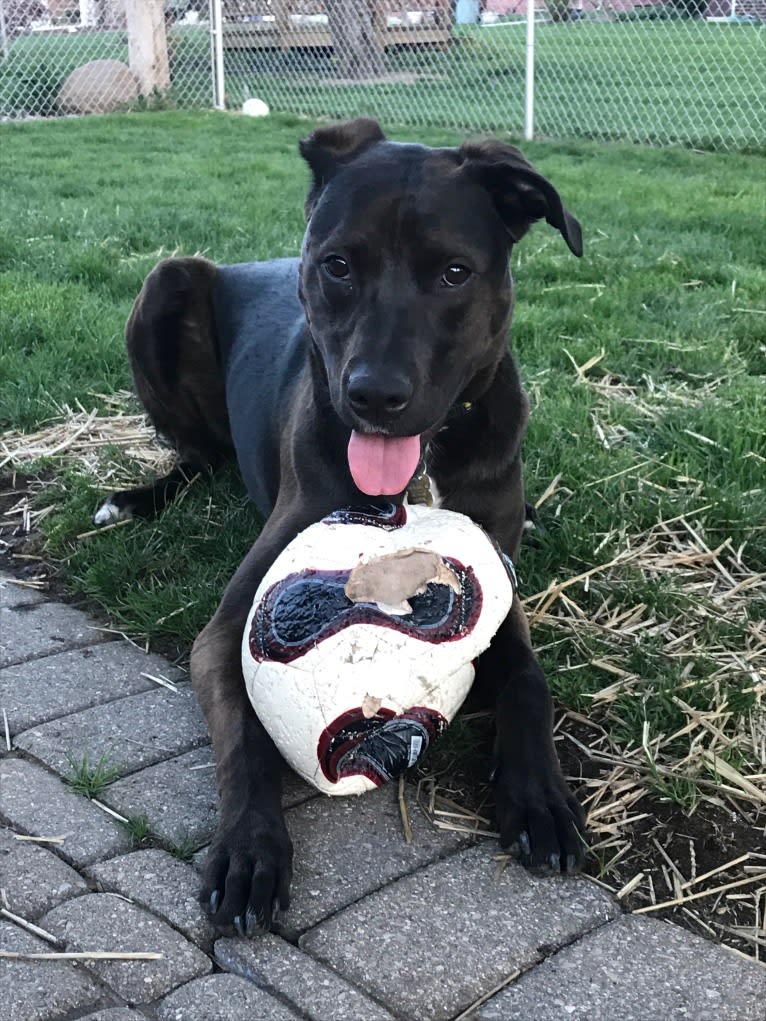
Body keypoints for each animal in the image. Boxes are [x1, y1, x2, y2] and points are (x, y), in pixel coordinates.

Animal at [96, 117, 588, 935]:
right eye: (338, 265)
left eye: (455, 273)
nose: (375, 395)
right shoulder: (227, 628)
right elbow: (246, 735)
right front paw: (251, 847)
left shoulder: (502, 595)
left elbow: (527, 680)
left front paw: (539, 797)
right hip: (167, 280)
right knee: (197, 457)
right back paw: (136, 499)